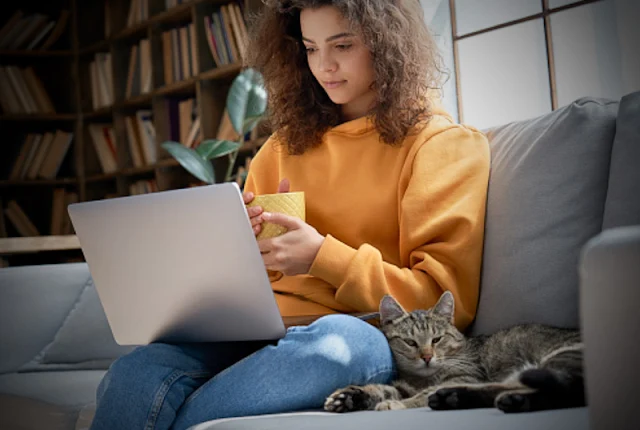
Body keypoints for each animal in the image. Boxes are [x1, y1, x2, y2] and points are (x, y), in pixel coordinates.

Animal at [324, 292, 584, 414]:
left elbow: (419, 395)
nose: (427, 357)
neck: (424, 378)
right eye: (410, 342)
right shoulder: (404, 385)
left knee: (566, 391)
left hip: (561, 358)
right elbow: (383, 389)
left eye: (436, 339)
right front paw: (349, 396)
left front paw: (395, 404)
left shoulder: (468, 375)